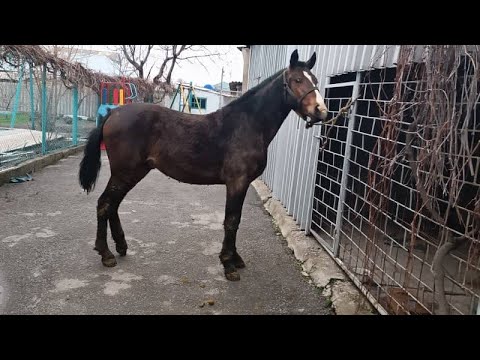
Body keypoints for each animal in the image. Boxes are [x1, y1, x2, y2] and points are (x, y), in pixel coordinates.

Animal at [79, 49, 328, 282]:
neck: (246, 124)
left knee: (113, 205)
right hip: (124, 172)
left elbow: (236, 220)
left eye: (315, 80)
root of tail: (113, 113)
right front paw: (228, 265)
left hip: (133, 172)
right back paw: (106, 254)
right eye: (297, 80)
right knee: (104, 204)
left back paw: (121, 246)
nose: (321, 111)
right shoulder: (236, 182)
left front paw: (235, 259)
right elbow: (231, 221)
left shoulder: (243, 184)